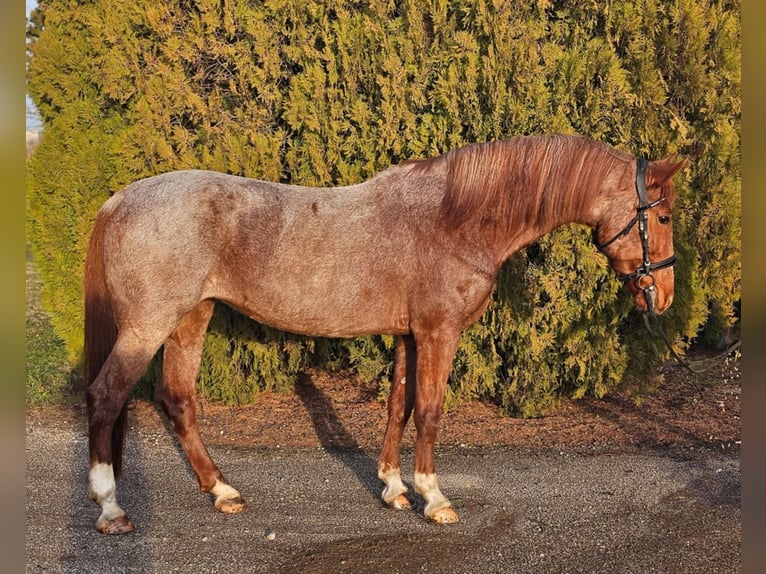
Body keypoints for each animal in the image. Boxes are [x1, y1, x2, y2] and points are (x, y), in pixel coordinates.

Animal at [84, 134, 685, 533]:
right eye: (662, 218)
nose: (664, 295)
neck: (456, 218)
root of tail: (120, 199)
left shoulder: (409, 335)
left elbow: (399, 404)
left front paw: (394, 488)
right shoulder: (439, 332)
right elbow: (431, 410)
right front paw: (434, 497)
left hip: (193, 316)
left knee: (177, 399)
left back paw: (222, 491)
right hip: (148, 326)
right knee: (107, 396)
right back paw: (111, 507)